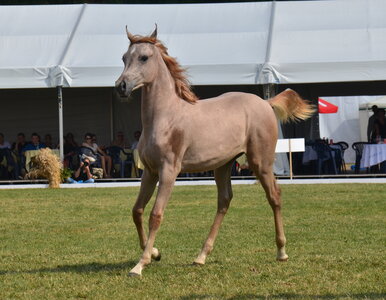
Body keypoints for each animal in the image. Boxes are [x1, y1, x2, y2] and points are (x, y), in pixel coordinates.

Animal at [114, 26, 314, 276]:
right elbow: (137, 211)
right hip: (223, 166)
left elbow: (155, 215)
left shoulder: (169, 171)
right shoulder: (149, 172)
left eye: (144, 57)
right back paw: (201, 256)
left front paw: (140, 264)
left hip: (261, 163)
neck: (165, 117)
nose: (121, 86)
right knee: (224, 201)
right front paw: (155, 253)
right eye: (124, 57)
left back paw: (281, 252)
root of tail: (265, 103)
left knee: (274, 196)